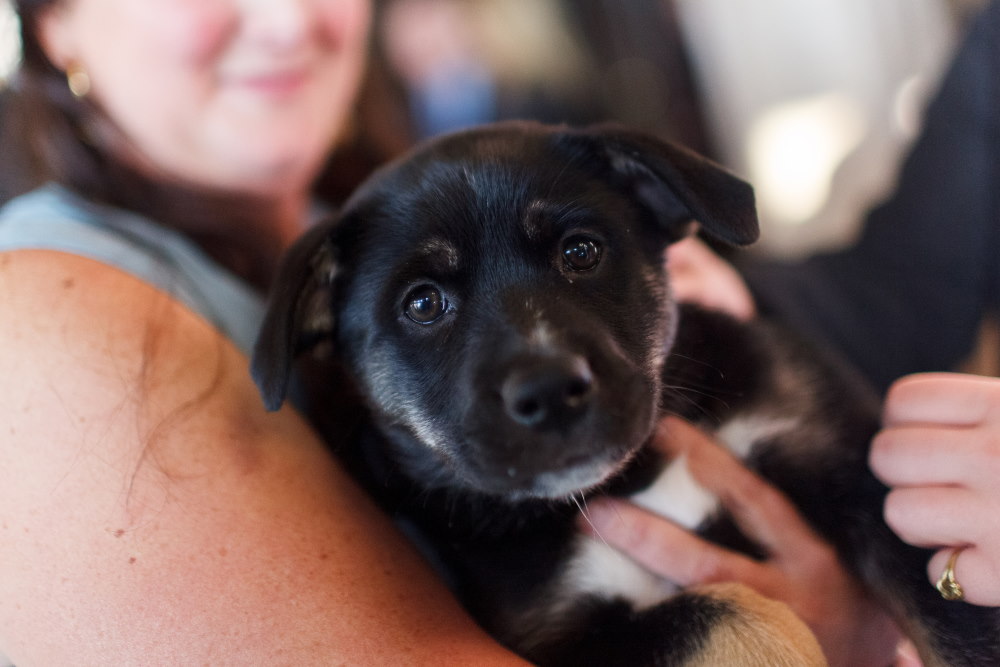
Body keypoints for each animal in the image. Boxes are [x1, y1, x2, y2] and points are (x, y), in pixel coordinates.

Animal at [252, 122, 1000, 664]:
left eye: (581, 252)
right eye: (423, 303)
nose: (550, 391)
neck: (635, 477)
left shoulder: (852, 464)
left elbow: (953, 620)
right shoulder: (558, 636)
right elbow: (725, 610)